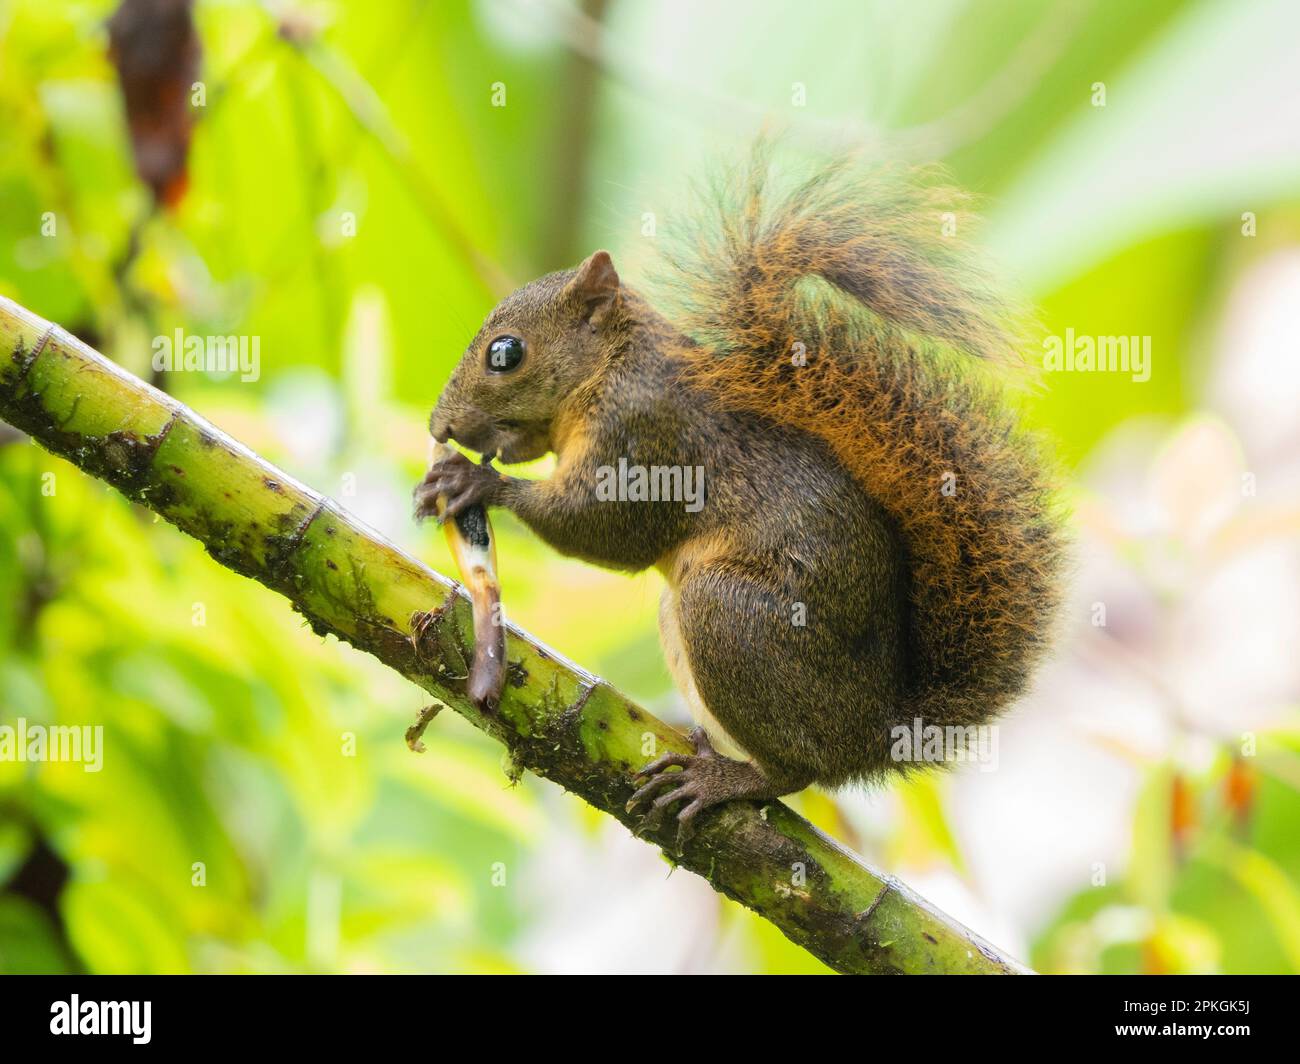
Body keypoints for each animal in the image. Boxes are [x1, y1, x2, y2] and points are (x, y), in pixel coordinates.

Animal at [416, 145, 1066, 842]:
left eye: (505, 353)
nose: (439, 426)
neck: (612, 365)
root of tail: (875, 732)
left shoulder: (646, 436)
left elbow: (606, 529)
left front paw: (474, 480)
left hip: (728, 615)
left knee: (800, 769)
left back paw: (725, 779)